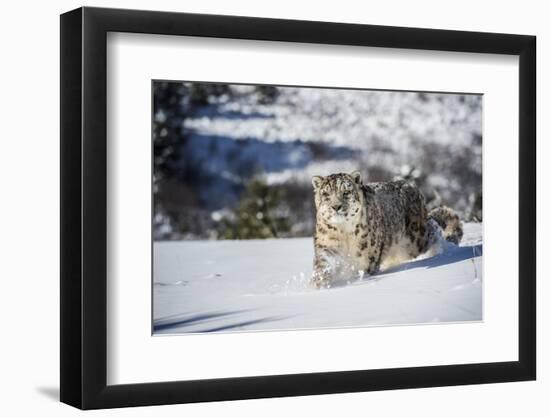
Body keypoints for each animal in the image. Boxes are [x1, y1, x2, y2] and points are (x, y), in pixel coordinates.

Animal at [312, 171, 464, 288]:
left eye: (346, 192)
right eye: (326, 194)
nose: (336, 206)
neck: (343, 232)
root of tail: (412, 186)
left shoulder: (367, 258)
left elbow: (362, 270)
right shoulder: (327, 246)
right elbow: (323, 265)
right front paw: (318, 284)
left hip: (414, 242)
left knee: (433, 228)